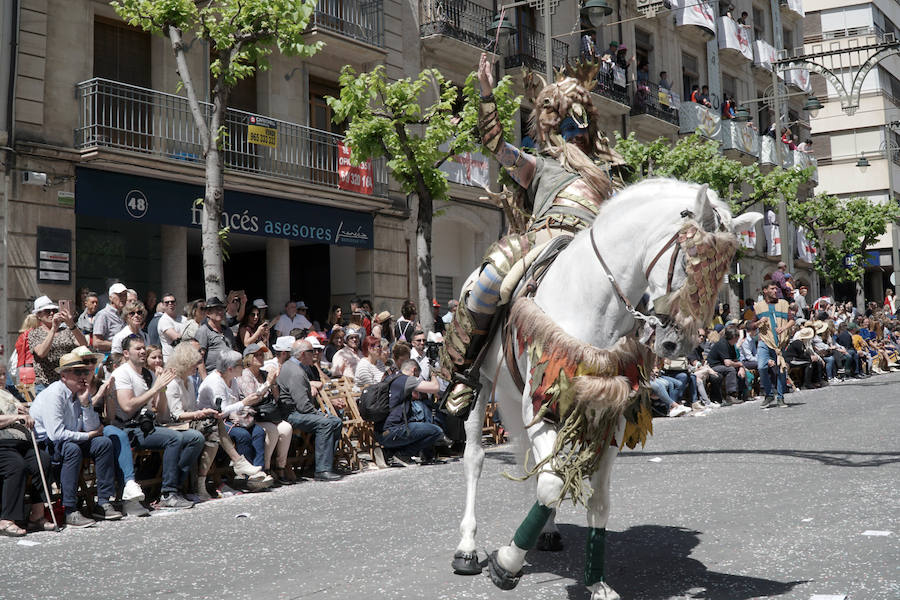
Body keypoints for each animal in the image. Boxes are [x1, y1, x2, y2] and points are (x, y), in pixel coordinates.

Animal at [454, 179, 764, 600]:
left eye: (722, 274)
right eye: (690, 261)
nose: (677, 344)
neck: (590, 301)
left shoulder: (608, 414)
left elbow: (596, 500)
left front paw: (597, 582)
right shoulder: (540, 406)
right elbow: (550, 484)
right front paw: (506, 564)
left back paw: (547, 532)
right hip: (483, 387)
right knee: (475, 458)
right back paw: (467, 549)